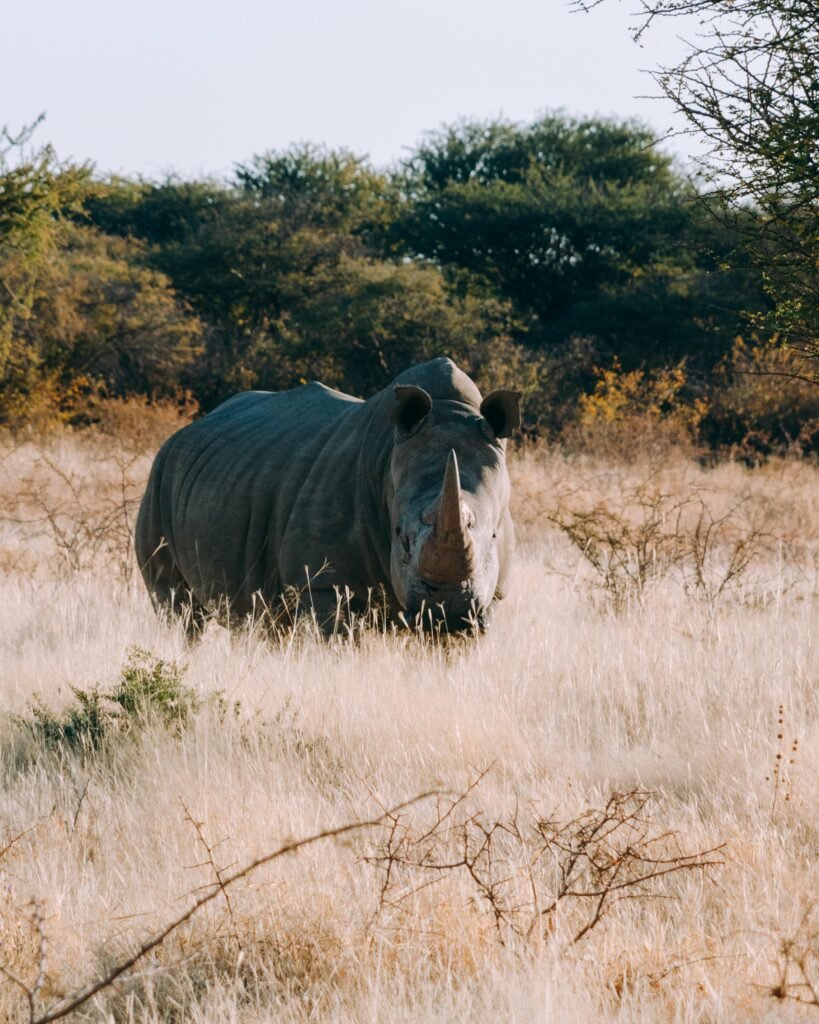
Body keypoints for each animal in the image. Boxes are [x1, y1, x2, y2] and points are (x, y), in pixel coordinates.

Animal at [135, 358, 520, 633]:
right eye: (401, 537)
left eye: (494, 536)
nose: (446, 613)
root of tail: (183, 432)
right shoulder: (321, 583)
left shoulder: (491, 597)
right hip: (159, 477)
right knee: (180, 611)